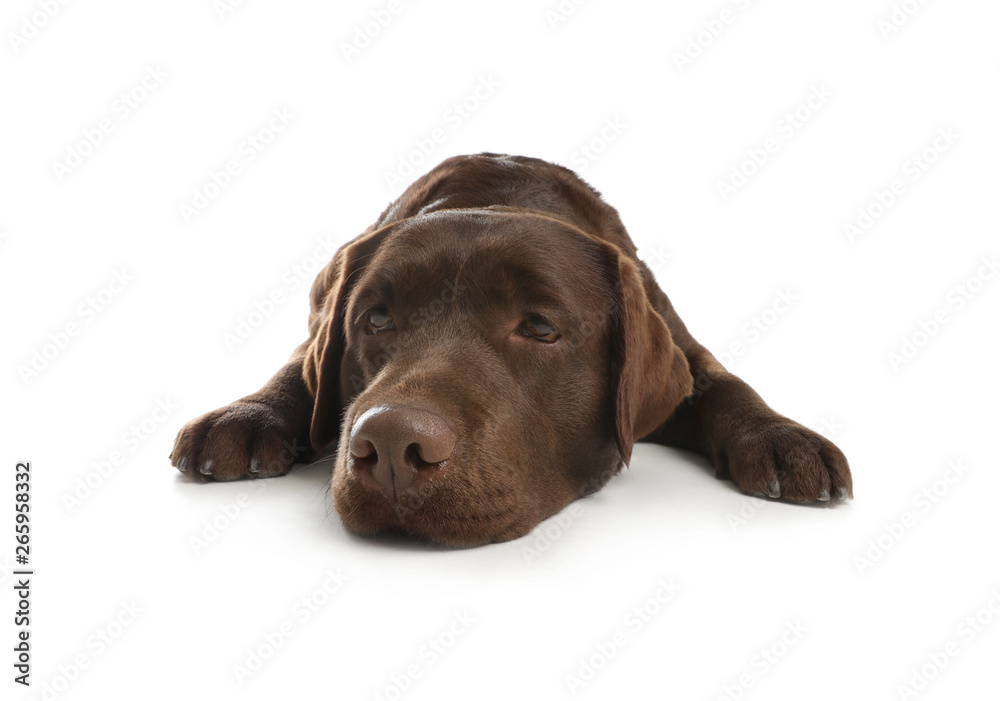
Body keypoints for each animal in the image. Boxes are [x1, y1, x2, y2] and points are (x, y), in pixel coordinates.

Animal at [170, 153, 852, 548]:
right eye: (377, 320)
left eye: (541, 329)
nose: (390, 445)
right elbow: (302, 368)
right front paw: (247, 415)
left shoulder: (684, 347)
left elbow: (724, 382)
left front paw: (782, 437)